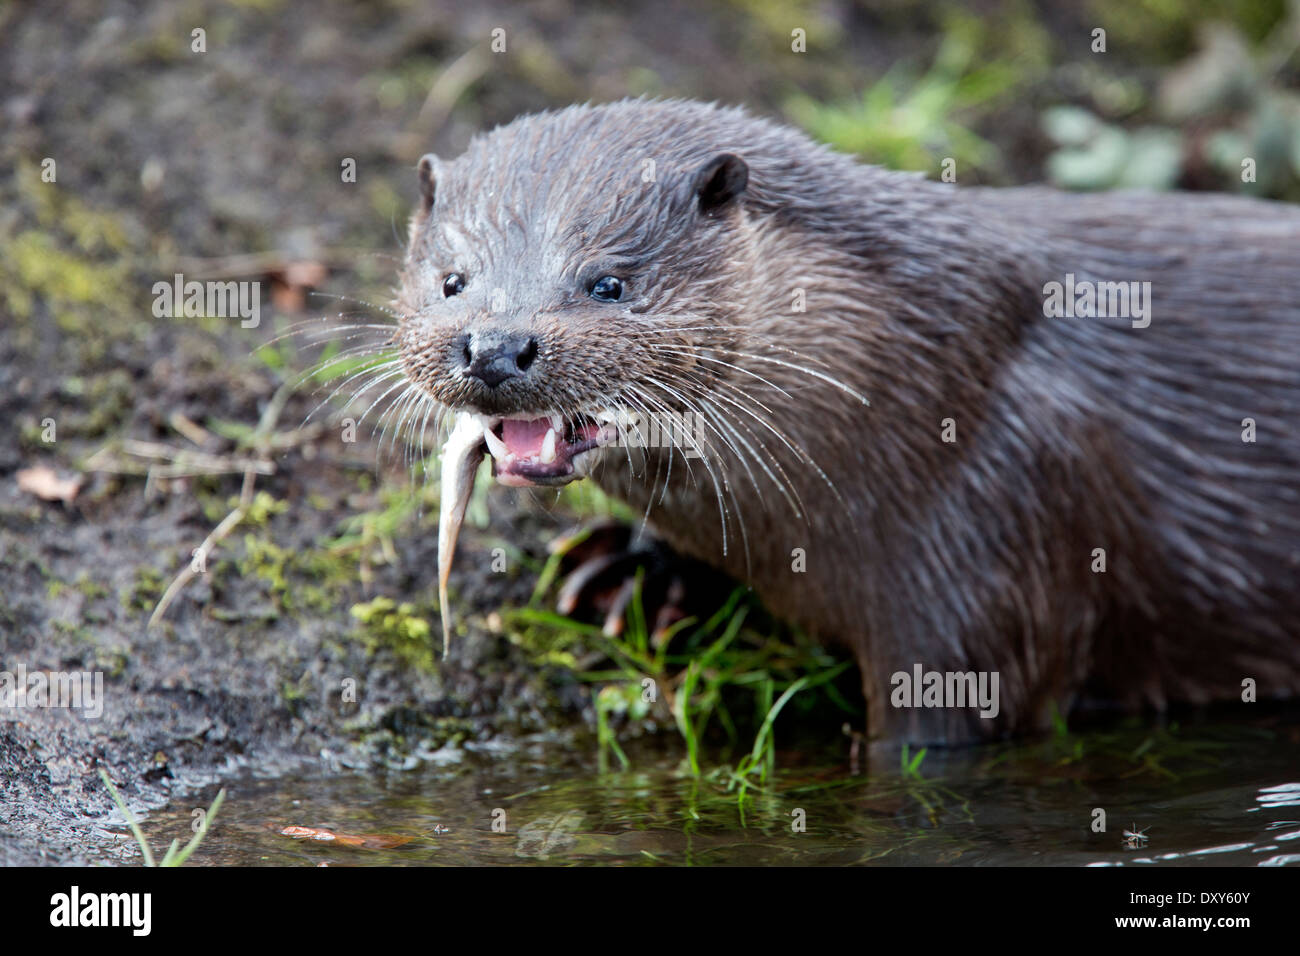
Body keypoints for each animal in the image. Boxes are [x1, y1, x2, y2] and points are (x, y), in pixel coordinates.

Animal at [395, 98, 1300, 745]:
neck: (930, 378)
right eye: (451, 280)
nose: (495, 345)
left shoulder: (999, 533)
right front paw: (634, 571)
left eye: (609, 283)